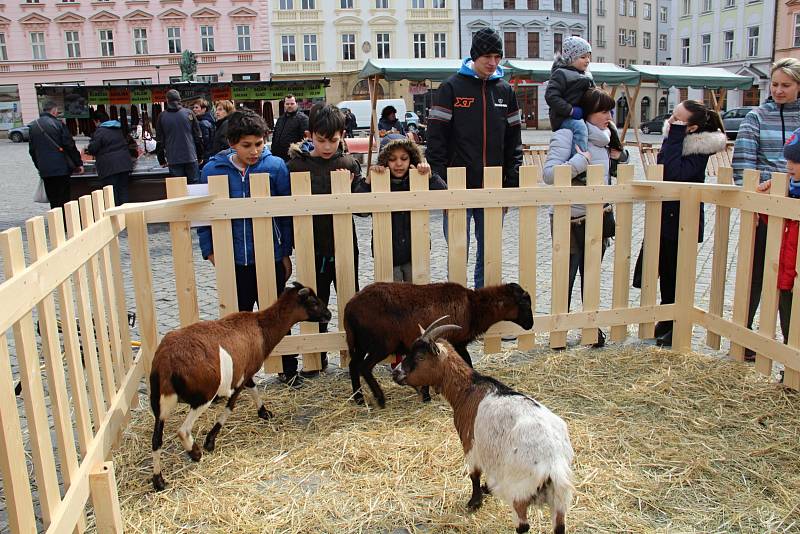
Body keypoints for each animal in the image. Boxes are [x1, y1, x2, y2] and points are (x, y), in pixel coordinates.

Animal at [150, 284, 332, 494]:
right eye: (313, 302)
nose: (329, 314)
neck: (261, 327)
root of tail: (167, 364)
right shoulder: (239, 378)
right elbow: (231, 405)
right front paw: (210, 441)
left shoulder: (248, 371)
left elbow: (253, 389)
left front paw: (264, 412)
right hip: (204, 394)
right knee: (183, 430)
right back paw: (195, 453)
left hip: (160, 403)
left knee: (156, 439)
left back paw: (159, 481)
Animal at [342, 282, 536, 408]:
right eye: (525, 303)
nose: (530, 325)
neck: (474, 307)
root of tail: (349, 308)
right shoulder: (456, 342)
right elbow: (466, 363)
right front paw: (428, 395)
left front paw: (427, 395)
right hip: (380, 344)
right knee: (364, 367)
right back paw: (380, 398)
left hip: (361, 344)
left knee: (353, 365)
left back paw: (359, 400)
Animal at [394, 320, 576, 532]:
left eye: (420, 357)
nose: (395, 373)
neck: (467, 390)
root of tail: (553, 462)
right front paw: (486, 490)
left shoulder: (470, 444)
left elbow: (474, 474)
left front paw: (474, 502)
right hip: (560, 498)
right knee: (559, 526)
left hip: (519, 491)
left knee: (523, 525)